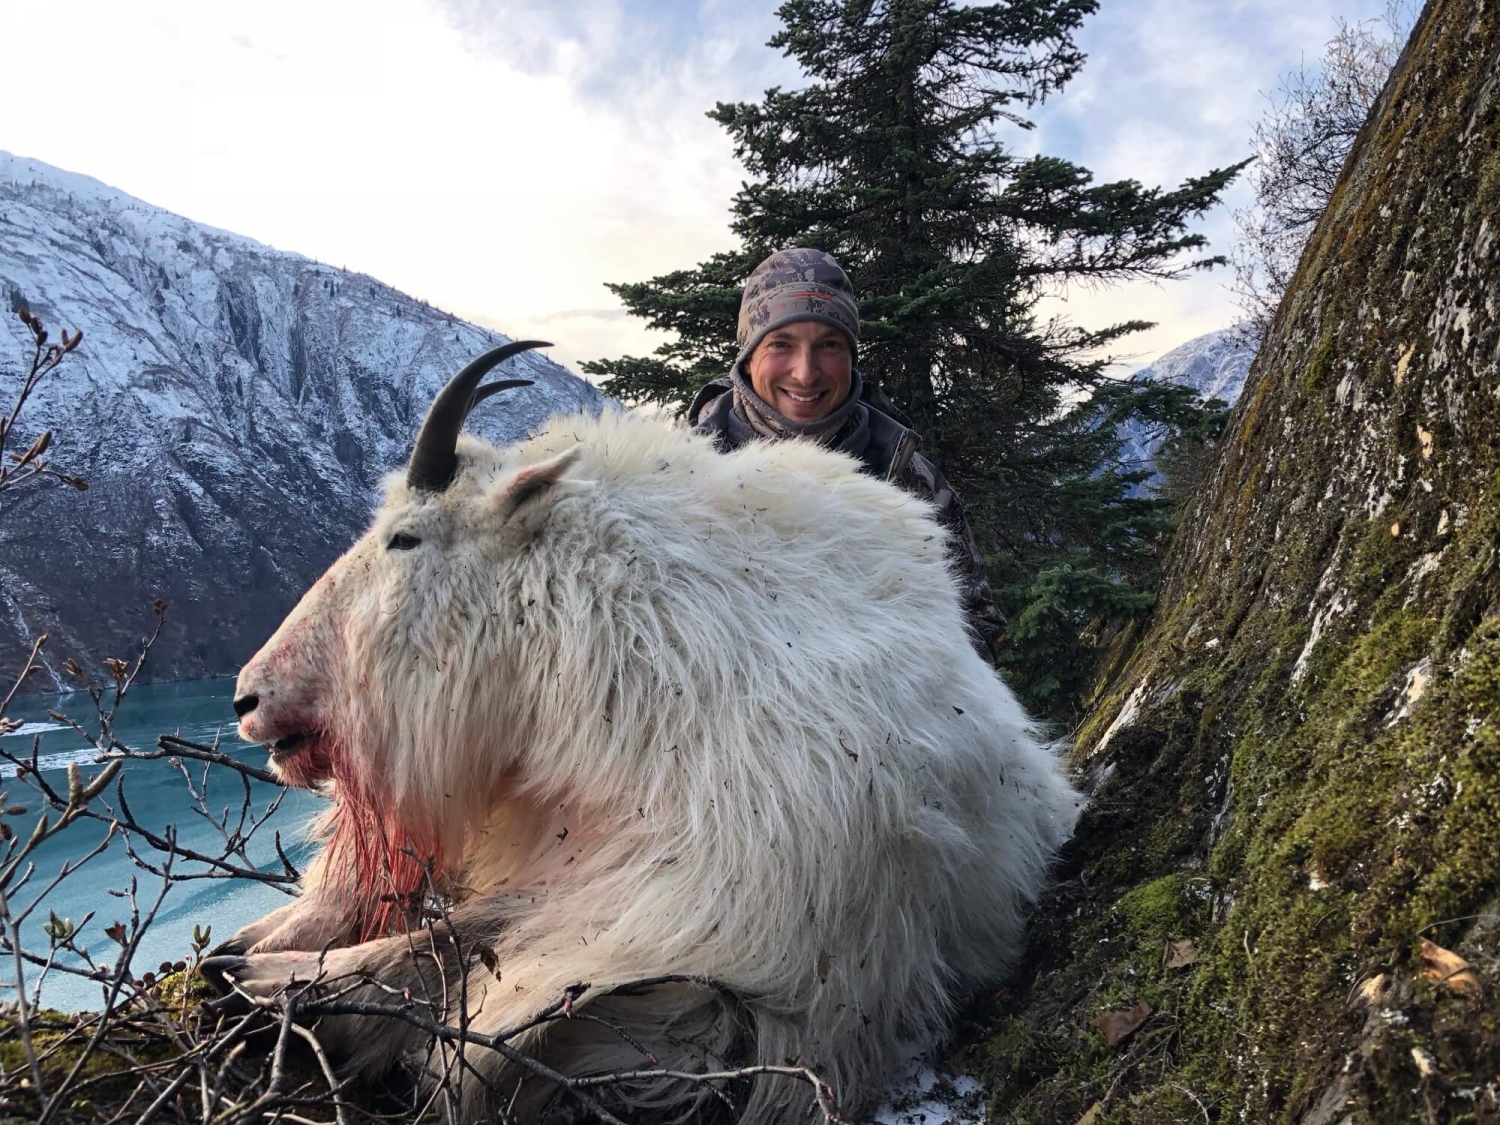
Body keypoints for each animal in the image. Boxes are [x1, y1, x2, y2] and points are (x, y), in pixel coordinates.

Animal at [211, 343, 1080, 1125]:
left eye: (406, 537)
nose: (250, 696)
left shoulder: (711, 925)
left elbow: (466, 947)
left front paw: (265, 980)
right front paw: (254, 944)